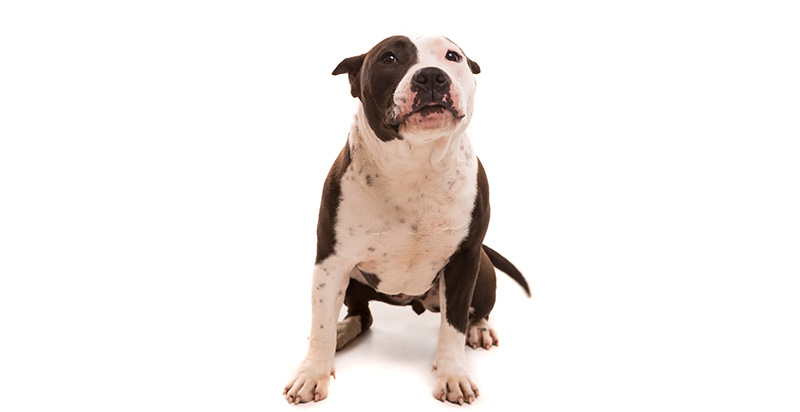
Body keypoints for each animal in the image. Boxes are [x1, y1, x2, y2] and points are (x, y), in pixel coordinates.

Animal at [282, 34, 532, 406]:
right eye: (388, 58)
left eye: (452, 56)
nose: (431, 77)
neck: (416, 168)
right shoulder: (331, 262)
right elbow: (321, 323)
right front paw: (313, 373)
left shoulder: (464, 260)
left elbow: (453, 325)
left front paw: (453, 374)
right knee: (361, 315)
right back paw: (343, 332)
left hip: (483, 269)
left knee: (476, 311)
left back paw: (479, 329)